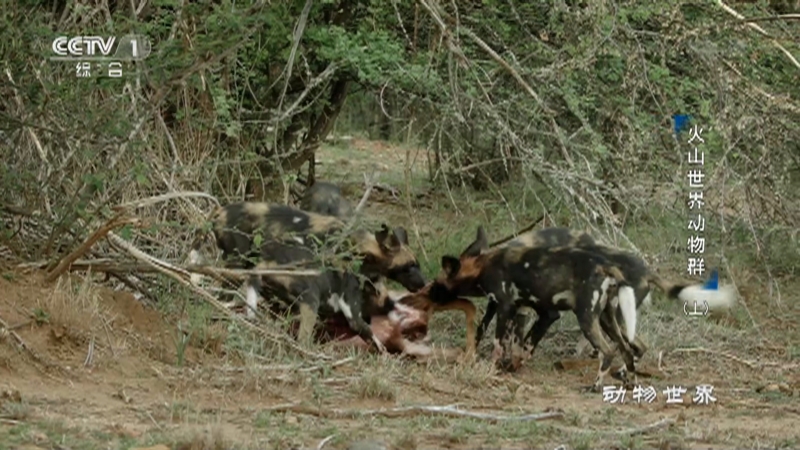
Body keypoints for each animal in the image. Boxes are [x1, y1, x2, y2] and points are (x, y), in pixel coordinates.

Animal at [432, 225, 636, 390]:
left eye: (437, 284)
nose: (428, 291)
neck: (483, 267)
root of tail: (606, 266)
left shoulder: (507, 307)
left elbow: (499, 346)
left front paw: (491, 368)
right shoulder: (519, 309)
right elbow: (518, 345)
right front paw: (507, 367)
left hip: (586, 319)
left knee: (608, 351)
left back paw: (595, 387)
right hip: (606, 320)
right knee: (626, 349)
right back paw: (630, 384)